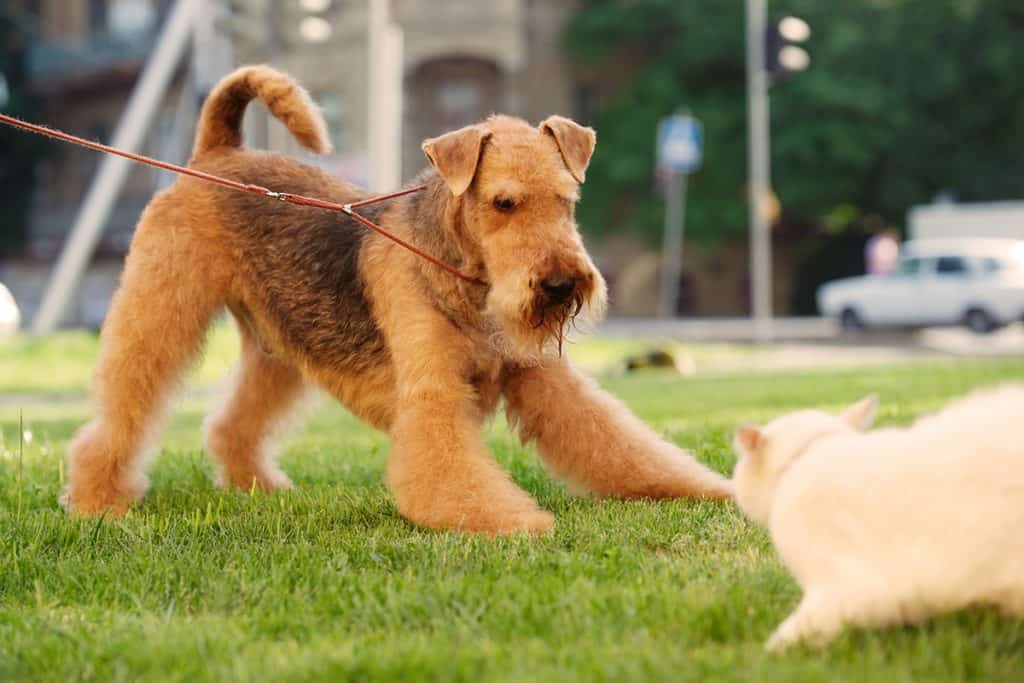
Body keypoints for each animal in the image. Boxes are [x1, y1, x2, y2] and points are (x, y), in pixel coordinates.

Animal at [64, 65, 733, 532]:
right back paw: (98, 501)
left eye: (567, 200)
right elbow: (448, 469)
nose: (561, 284)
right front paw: (516, 522)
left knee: (235, 422)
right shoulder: (433, 394)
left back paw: (258, 486)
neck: (467, 283)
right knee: (121, 410)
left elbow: (619, 442)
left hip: (279, 344)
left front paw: (710, 489)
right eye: (504, 202)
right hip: (161, 309)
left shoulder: (547, 379)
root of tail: (217, 152)